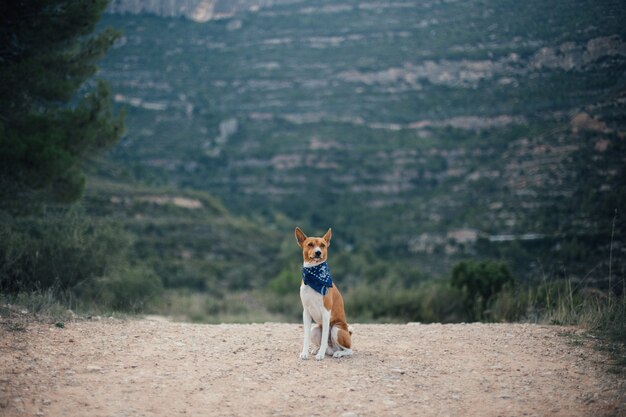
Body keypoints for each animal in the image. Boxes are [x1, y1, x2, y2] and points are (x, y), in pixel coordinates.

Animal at [294, 226, 352, 360]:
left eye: (322, 245)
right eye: (310, 244)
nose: (318, 252)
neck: (314, 277)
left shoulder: (326, 312)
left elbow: (325, 336)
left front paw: (320, 355)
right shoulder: (306, 312)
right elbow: (306, 337)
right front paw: (304, 353)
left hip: (336, 329)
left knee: (348, 349)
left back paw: (336, 353)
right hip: (315, 329)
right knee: (324, 345)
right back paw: (317, 350)